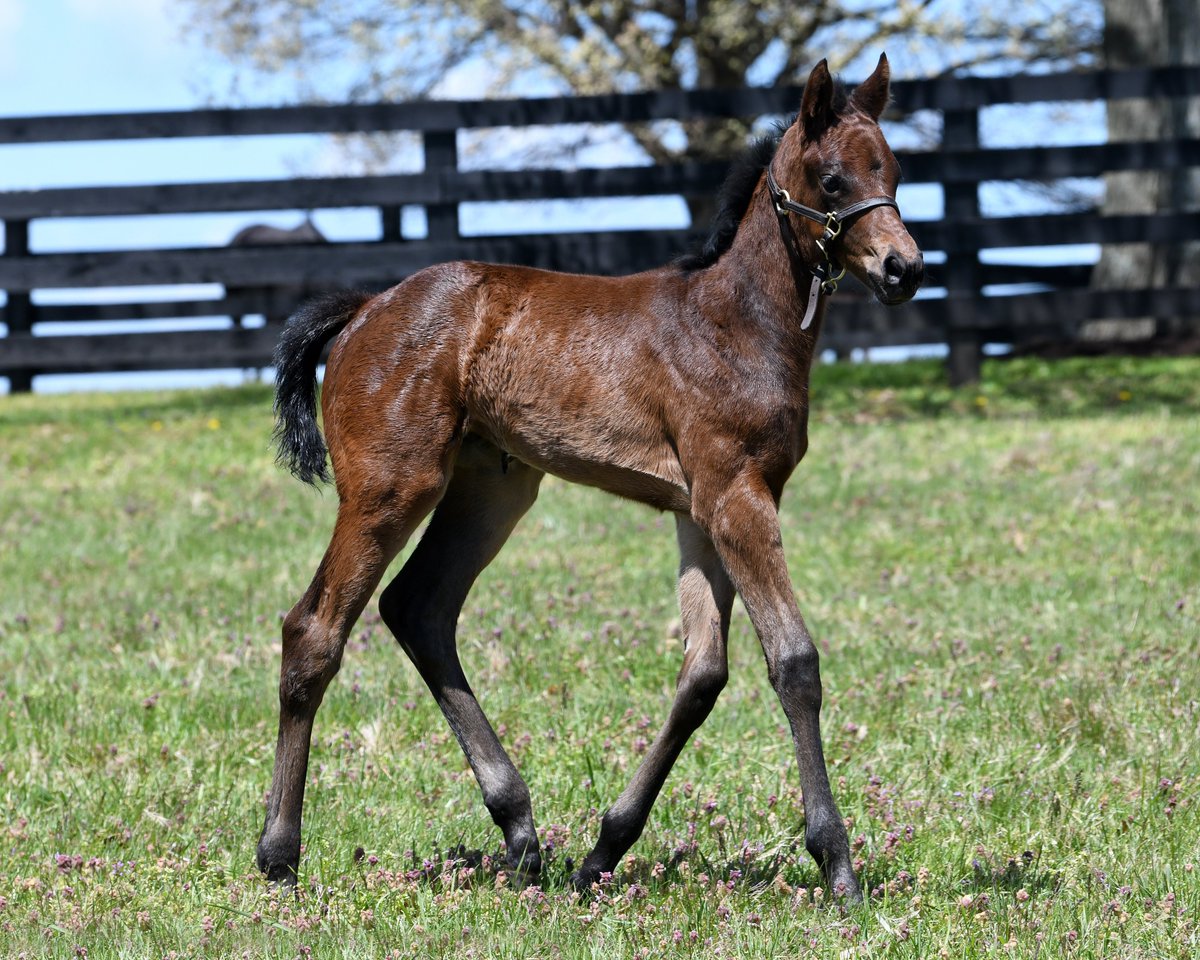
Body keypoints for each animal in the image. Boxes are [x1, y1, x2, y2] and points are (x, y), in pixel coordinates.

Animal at [258, 56, 921, 902]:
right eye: (833, 180)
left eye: (893, 171)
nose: (905, 268)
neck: (734, 323)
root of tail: (364, 309)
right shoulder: (736, 497)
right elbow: (794, 662)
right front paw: (837, 864)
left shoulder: (701, 509)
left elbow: (702, 674)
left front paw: (604, 850)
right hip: (392, 486)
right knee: (315, 630)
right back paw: (279, 854)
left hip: (493, 488)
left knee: (419, 609)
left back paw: (521, 833)